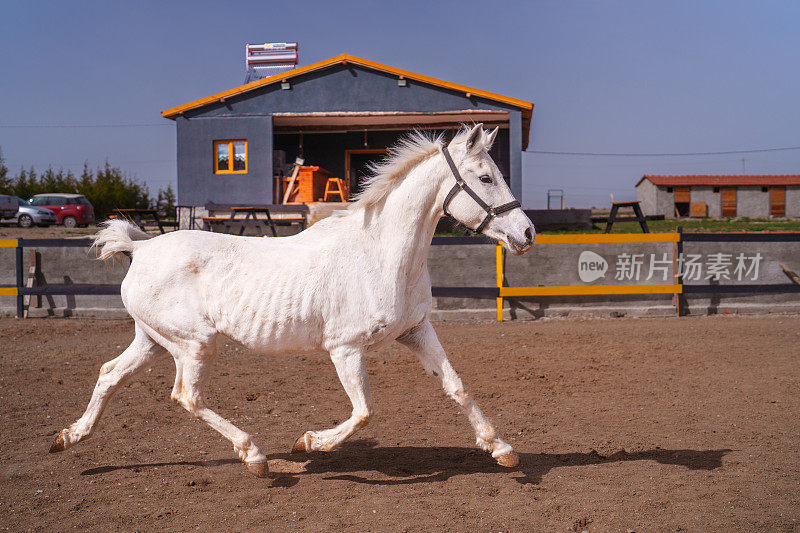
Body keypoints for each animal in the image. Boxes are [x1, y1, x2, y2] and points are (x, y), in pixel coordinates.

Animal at [51, 124, 536, 478]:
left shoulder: (416, 331)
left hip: (152, 340)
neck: (381, 253)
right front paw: (308, 442)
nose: (527, 233)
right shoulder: (346, 349)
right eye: (486, 177)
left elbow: (457, 386)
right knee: (186, 396)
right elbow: (364, 411)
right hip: (192, 344)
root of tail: (142, 248)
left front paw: (502, 449)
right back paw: (255, 456)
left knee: (110, 374)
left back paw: (69, 437)